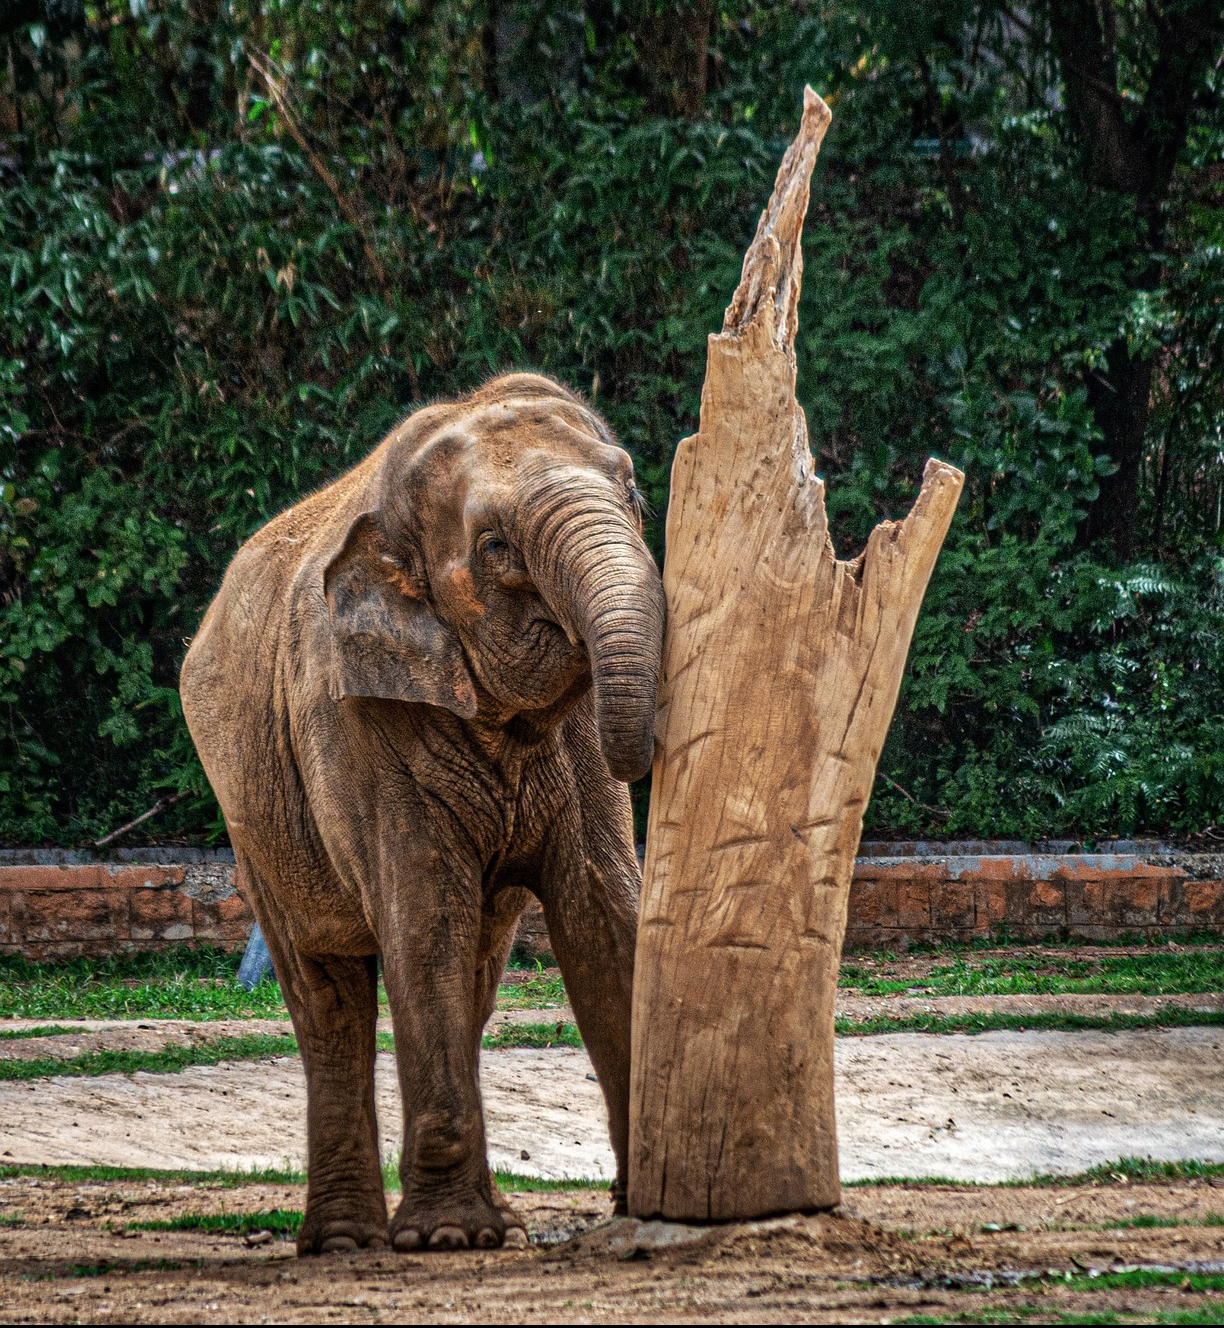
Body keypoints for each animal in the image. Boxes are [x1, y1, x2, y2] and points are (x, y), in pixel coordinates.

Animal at [180, 373, 665, 1254]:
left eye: (635, 492)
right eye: (496, 548)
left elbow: (605, 917)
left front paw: (645, 1202)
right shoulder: (358, 716)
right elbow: (425, 917)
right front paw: (446, 1239)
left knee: (471, 975)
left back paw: (489, 1223)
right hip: (251, 822)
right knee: (327, 997)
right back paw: (348, 1242)